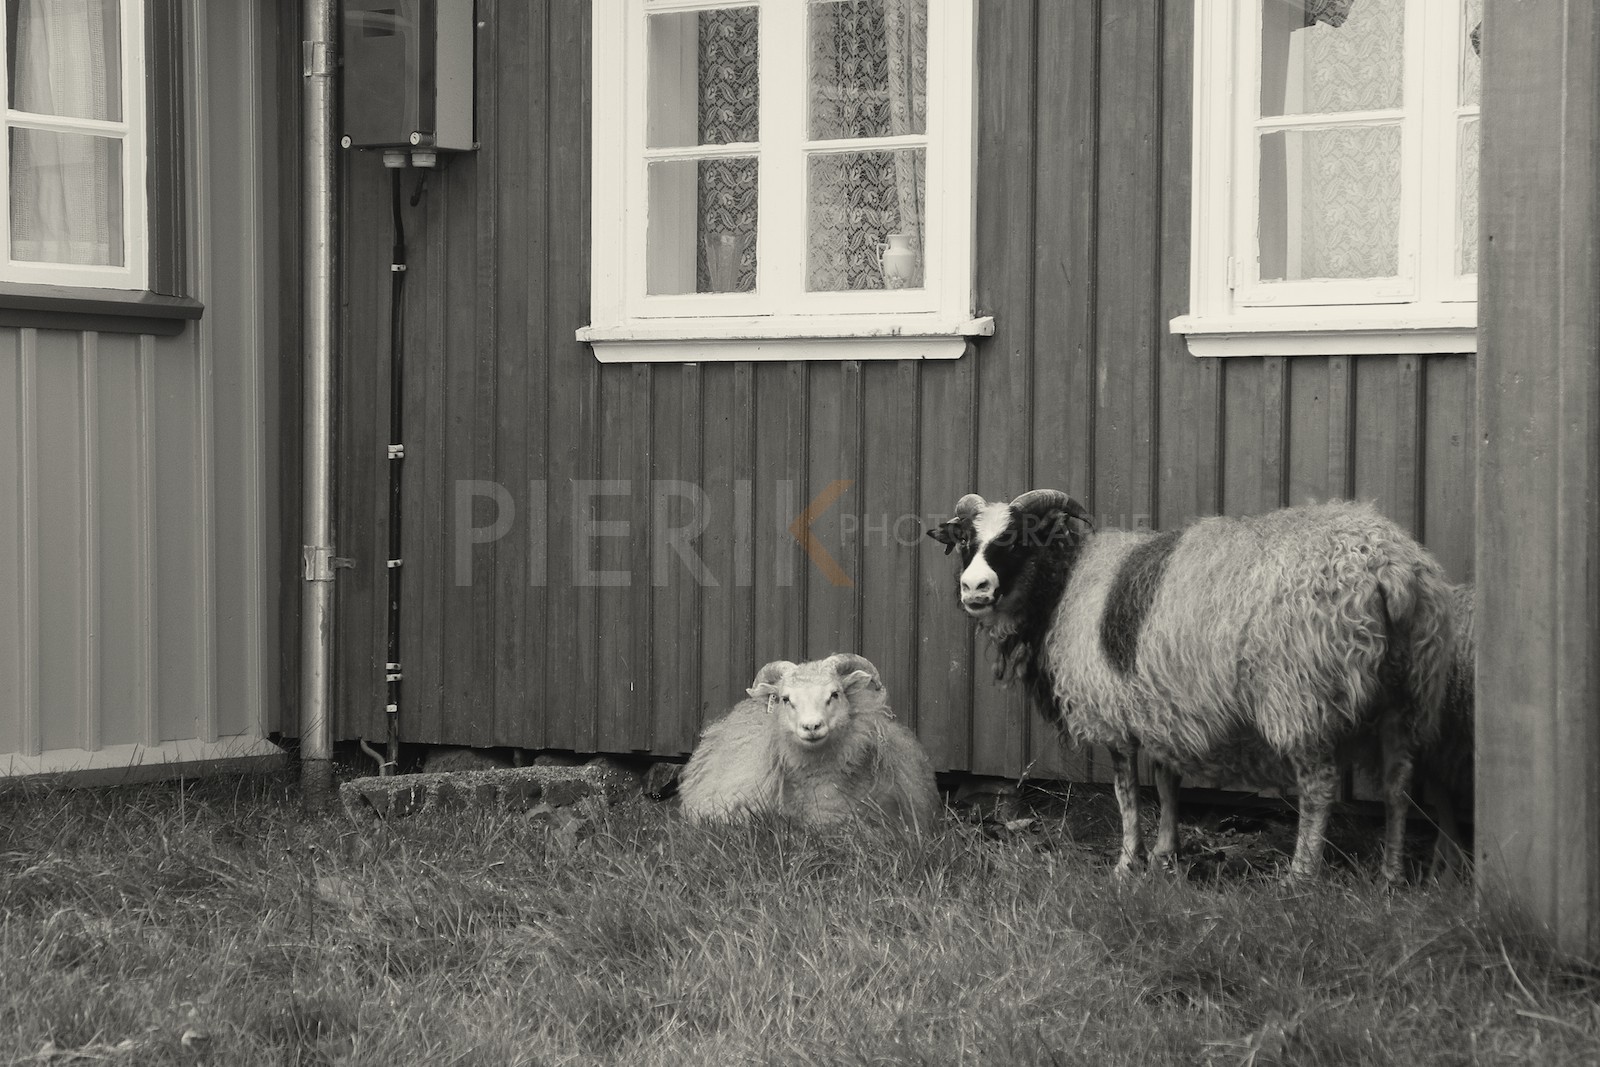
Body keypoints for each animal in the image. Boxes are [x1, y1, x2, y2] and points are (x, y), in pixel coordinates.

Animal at [928, 490, 1455, 882]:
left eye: (1016, 539)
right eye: (965, 540)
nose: (974, 589)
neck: (1063, 585)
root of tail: (1388, 567)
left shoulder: (1114, 710)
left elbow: (1126, 792)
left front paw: (1127, 864)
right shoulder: (1159, 702)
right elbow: (1167, 782)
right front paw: (1167, 854)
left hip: (1301, 694)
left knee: (1320, 787)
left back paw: (1300, 876)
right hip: (1407, 695)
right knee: (1398, 786)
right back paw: (1391, 875)